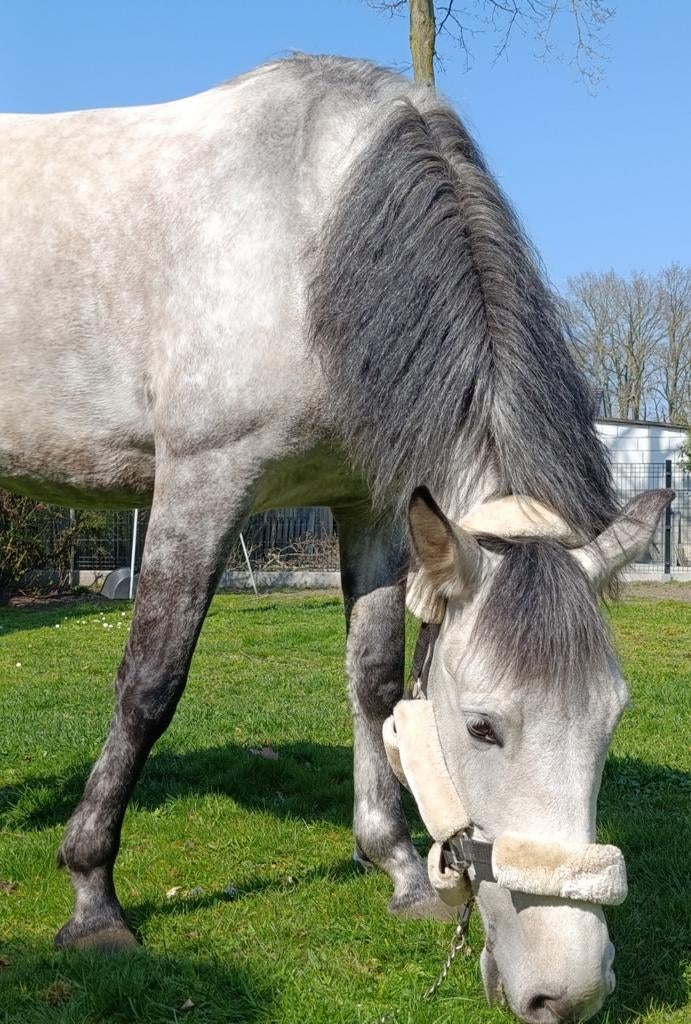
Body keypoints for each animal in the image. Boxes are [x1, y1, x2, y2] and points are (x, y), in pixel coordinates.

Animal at [0, 54, 672, 1023]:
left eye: (610, 718)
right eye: (481, 728)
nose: (568, 992)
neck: (309, 228)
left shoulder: (373, 507)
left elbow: (374, 680)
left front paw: (398, 869)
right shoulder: (202, 485)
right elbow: (149, 685)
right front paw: (93, 899)